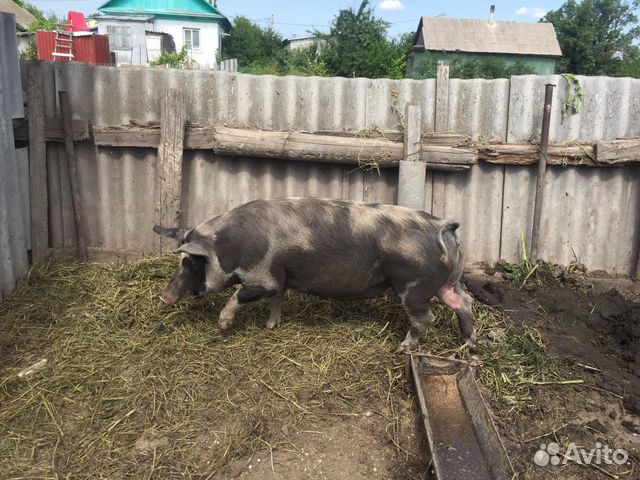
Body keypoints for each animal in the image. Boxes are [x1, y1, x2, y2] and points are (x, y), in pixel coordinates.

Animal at [154, 197, 476, 350]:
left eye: (192, 262)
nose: (163, 297)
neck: (231, 247)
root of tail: (443, 227)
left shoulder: (263, 277)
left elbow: (239, 296)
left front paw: (222, 326)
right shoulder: (280, 278)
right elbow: (278, 300)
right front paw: (271, 327)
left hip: (414, 287)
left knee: (426, 318)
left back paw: (403, 348)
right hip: (446, 283)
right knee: (465, 303)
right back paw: (469, 344)